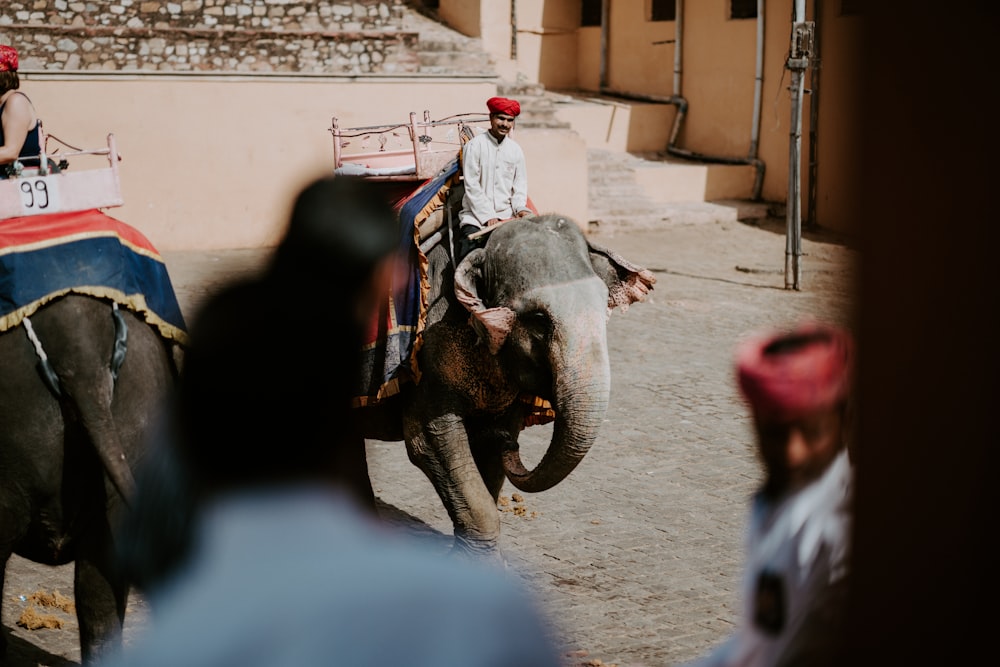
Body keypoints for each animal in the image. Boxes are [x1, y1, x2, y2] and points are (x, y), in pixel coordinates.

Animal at [356, 213, 652, 560]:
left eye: (604, 306)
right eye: (539, 319)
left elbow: (492, 448)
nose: (509, 444)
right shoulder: (426, 352)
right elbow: (427, 441)